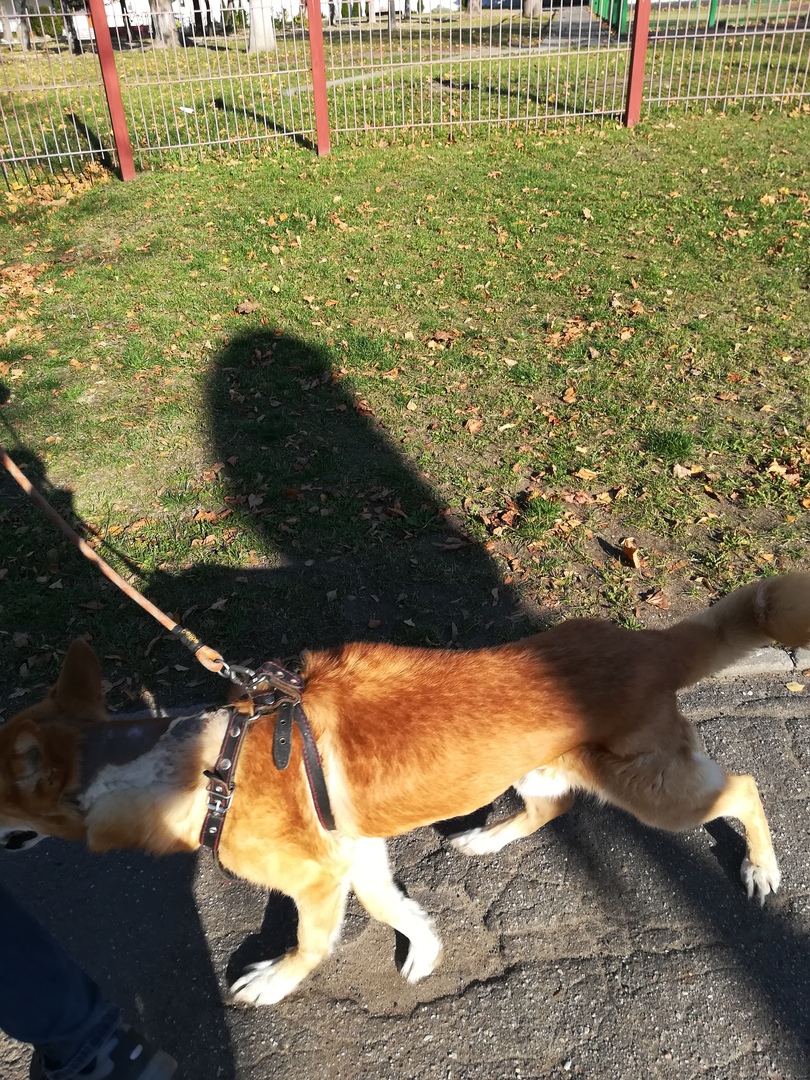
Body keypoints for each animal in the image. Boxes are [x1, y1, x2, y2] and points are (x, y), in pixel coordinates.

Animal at [1, 572, 809, 1005]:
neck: (205, 767)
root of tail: (647, 644)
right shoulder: (355, 853)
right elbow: (394, 904)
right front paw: (423, 947)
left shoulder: (317, 880)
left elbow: (311, 942)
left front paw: (275, 980)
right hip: (538, 763)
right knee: (553, 801)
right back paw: (487, 836)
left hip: (653, 789)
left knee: (742, 787)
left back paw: (761, 866)